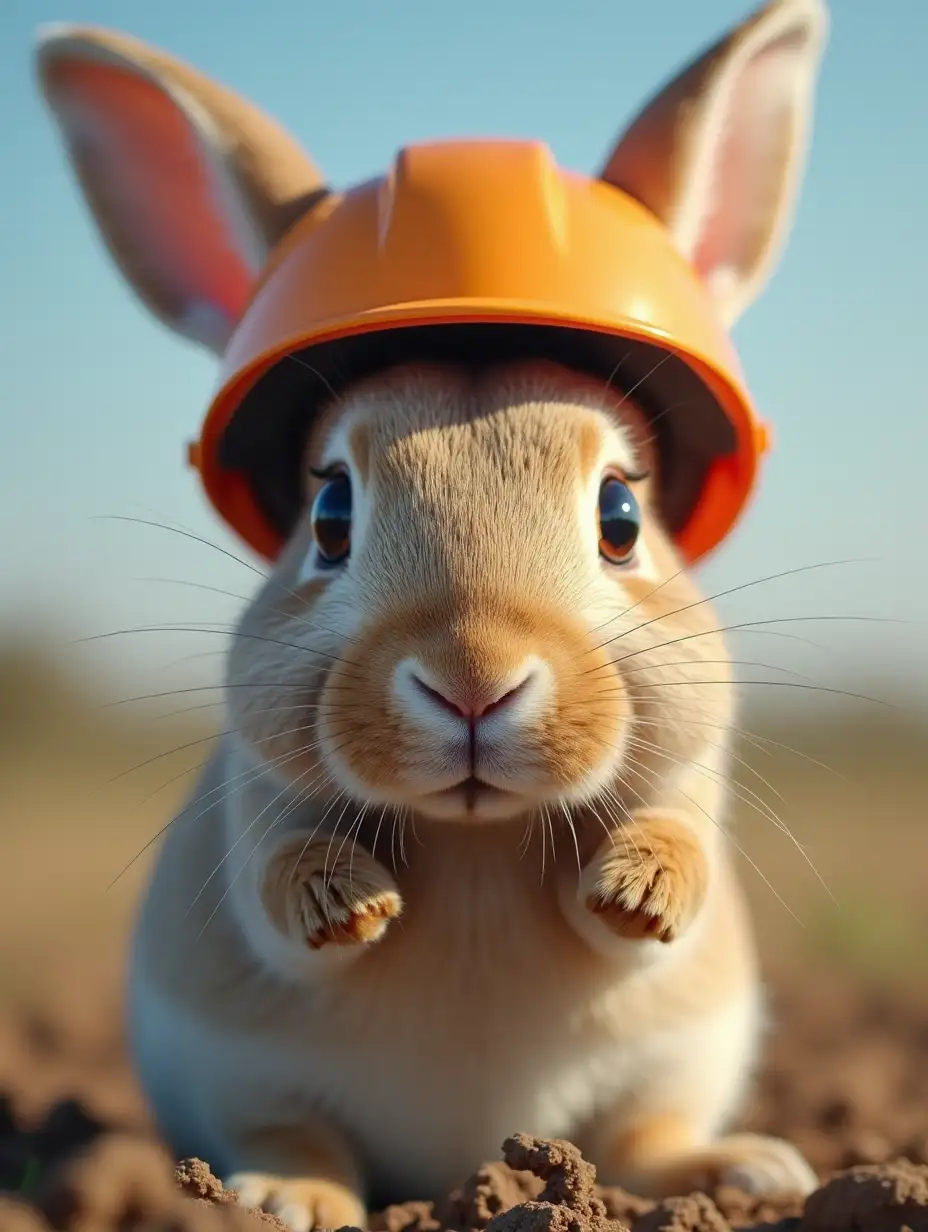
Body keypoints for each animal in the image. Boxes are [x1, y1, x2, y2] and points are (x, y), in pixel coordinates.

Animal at [38, 2, 823, 1232]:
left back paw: (746, 1170)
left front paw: (635, 889)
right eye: (329, 513)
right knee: (293, 1134)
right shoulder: (255, 809)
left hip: (665, 1078)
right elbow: (279, 892)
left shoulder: (685, 780)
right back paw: (286, 1196)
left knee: (641, 1147)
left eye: (620, 514)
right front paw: (350, 903)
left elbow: (667, 876)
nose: (472, 681)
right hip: (242, 1084)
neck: (475, 834)